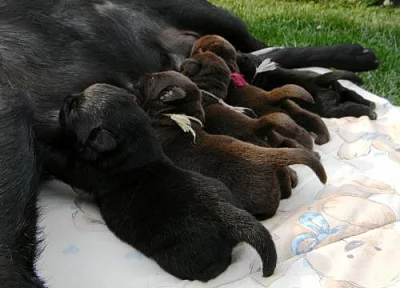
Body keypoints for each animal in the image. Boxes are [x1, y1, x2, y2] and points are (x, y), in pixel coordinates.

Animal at [41, 83, 278, 282]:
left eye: (73, 109)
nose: (66, 97)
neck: (137, 147)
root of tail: (227, 214)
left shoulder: (86, 170)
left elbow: (62, 161)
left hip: (185, 257)